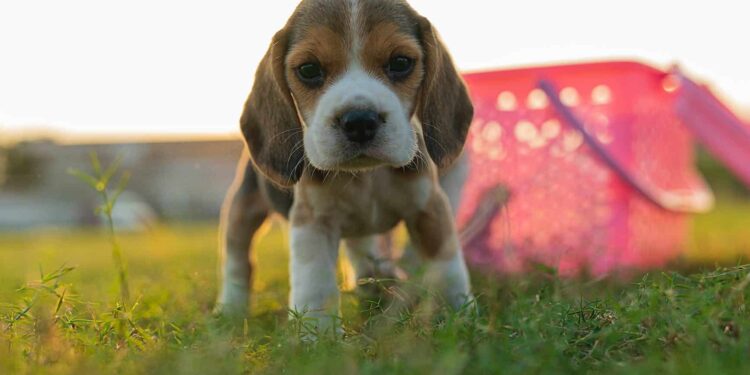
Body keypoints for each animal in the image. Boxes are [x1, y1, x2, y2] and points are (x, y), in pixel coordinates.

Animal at [217, 0, 472, 330]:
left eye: (400, 62)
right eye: (309, 70)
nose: (360, 121)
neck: (367, 177)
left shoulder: (429, 208)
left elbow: (449, 266)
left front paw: (462, 315)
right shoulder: (312, 222)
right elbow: (316, 285)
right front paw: (317, 336)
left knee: (361, 251)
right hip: (242, 209)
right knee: (238, 260)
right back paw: (230, 308)